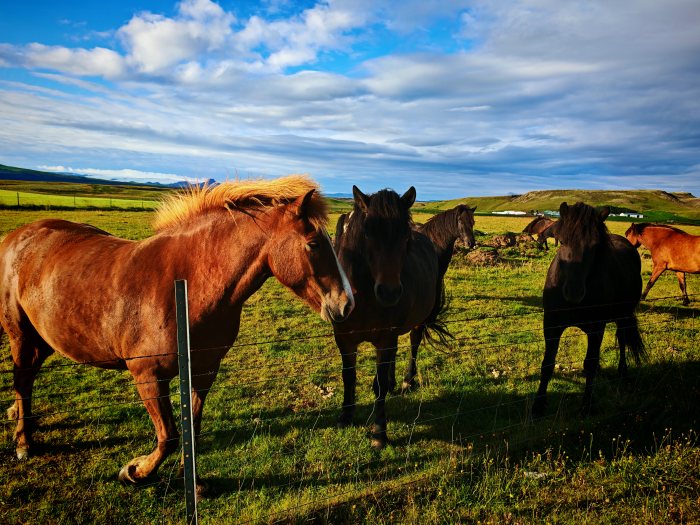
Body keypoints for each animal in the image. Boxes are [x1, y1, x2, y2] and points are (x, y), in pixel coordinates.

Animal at [0, 175, 354, 491]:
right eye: (313, 244)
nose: (346, 304)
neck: (185, 285)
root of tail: (17, 236)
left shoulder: (203, 371)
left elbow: (191, 430)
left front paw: (193, 483)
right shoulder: (148, 375)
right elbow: (169, 435)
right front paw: (134, 472)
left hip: (42, 341)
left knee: (27, 380)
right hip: (21, 336)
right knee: (22, 380)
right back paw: (23, 443)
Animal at [332, 185, 443, 448]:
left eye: (405, 237)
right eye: (367, 234)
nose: (389, 292)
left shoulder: (384, 339)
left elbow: (380, 385)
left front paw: (379, 433)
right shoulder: (344, 339)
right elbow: (348, 376)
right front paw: (345, 417)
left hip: (416, 324)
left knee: (413, 345)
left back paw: (407, 380)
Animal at [532, 202, 645, 419]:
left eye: (594, 246)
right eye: (562, 240)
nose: (573, 292)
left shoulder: (596, 328)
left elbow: (590, 364)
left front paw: (587, 405)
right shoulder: (551, 325)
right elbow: (547, 364)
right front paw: (538, 407)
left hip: (623, 316)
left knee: (622, 339)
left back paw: (623, 373)